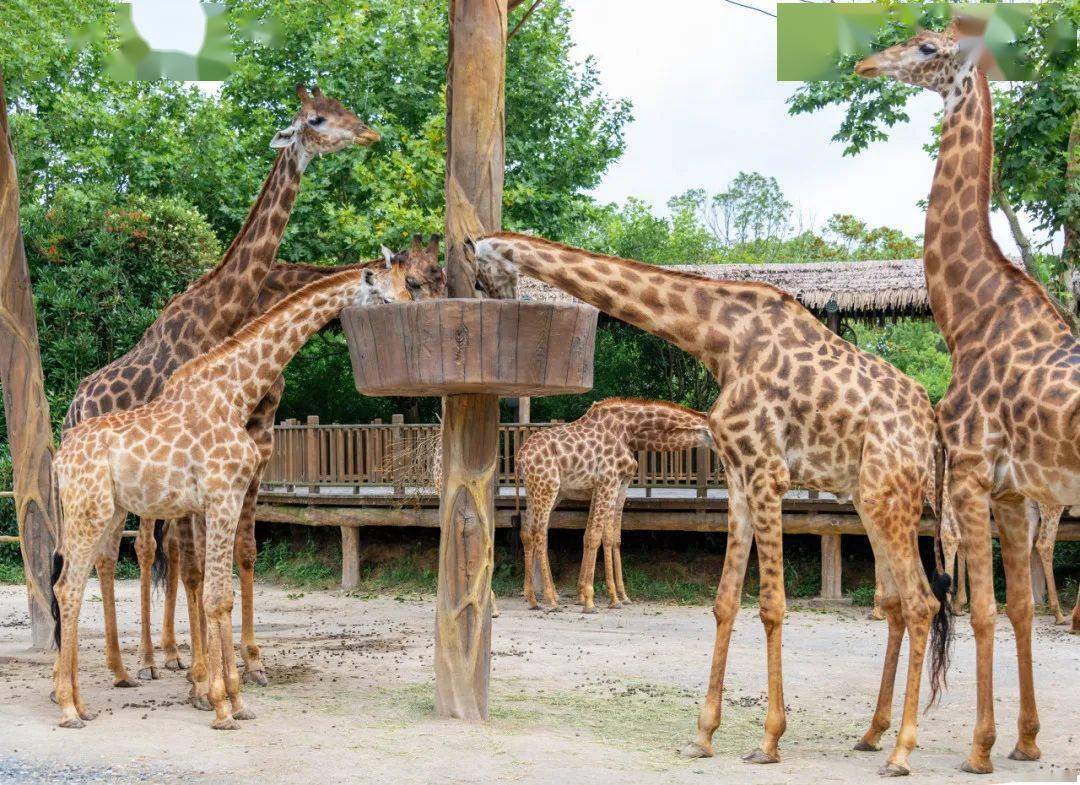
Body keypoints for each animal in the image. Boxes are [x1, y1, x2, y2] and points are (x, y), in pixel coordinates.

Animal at [50, 264, 406, 729]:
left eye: (409, 289)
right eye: (386, 298)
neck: (234, 394)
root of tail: (60, 458)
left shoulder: (221, 499)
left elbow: (219, 594)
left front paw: (232, 698)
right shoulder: (221, 496)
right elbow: (216, 596)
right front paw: (222, 704)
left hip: (105, 513)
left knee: (76, 581)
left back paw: (82, 701)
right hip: (88, 512)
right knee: (69, 587)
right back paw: (71, 706)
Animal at [61, 83, 380, 691]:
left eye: (343, 107)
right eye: (316, 118)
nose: (369, 133)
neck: (218, 315)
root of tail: (73, 405)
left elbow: (224, 556)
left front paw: (231, 667)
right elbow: (194, 565)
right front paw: (203, 677)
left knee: (133, 552)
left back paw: (152, 657)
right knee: (115, 555)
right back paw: (128, 666)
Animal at [516, 399, 712, 613]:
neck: (628, 431)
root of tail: (521, 456)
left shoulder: (615, 484)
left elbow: (608, 536)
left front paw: (617, 596)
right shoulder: (608, 481)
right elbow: (596, 536)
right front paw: (592, 599)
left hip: (540, 490)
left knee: (527, 530)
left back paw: (533, 598)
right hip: (547, 487)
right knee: (539, 533)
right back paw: (551, 600)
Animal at [859, 16, 1080, 773]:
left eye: (928, 48)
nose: (867, 63)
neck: (967, 314)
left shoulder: (974, 473)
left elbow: (982, 609)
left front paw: (979, 748)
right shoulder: (1013, 491)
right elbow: (1015, 609)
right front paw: (1025, 739)